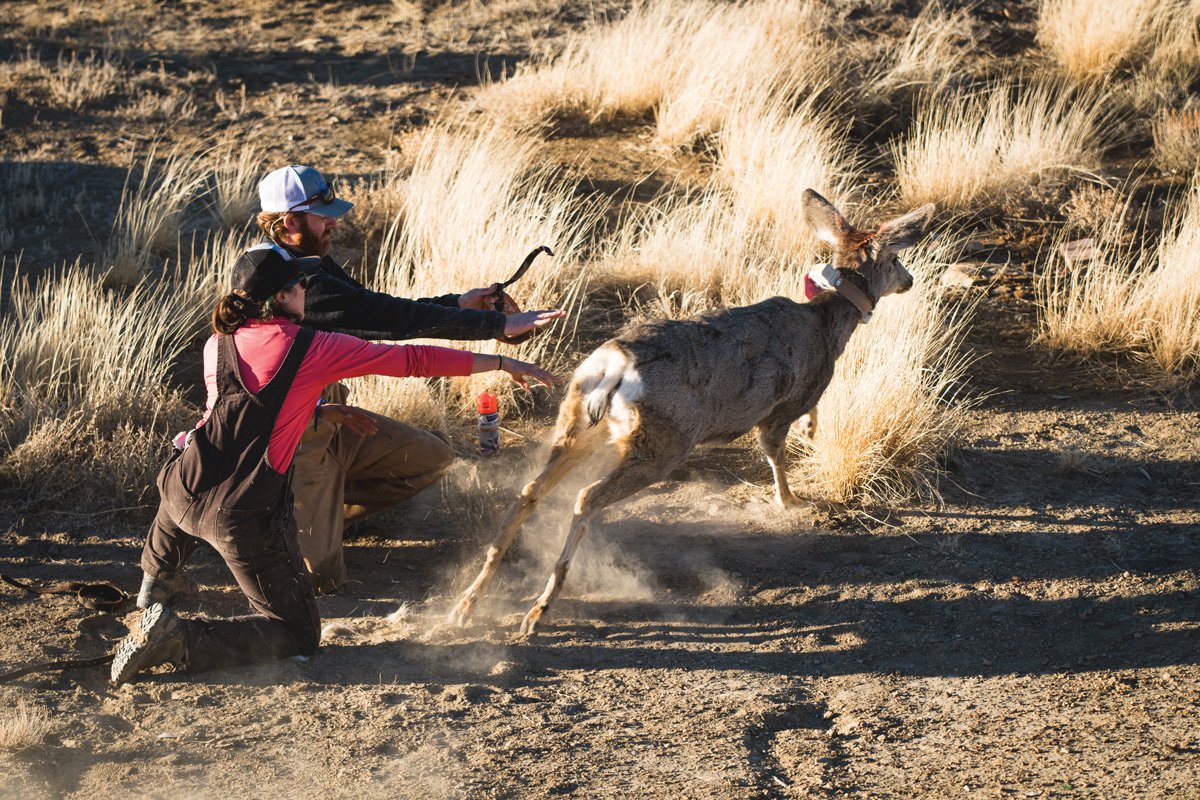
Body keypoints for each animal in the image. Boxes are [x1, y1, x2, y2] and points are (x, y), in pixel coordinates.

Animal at [446, 190, 931, 633]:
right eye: (896, 260)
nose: (909, 280)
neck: (827, 325)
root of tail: (615, 365)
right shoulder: (784, 405)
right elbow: (776, 454)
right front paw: (791, 499)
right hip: (663, 441)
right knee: (586, 497)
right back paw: (538, 609)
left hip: (578, 421)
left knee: (531, 489)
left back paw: (467, 604)